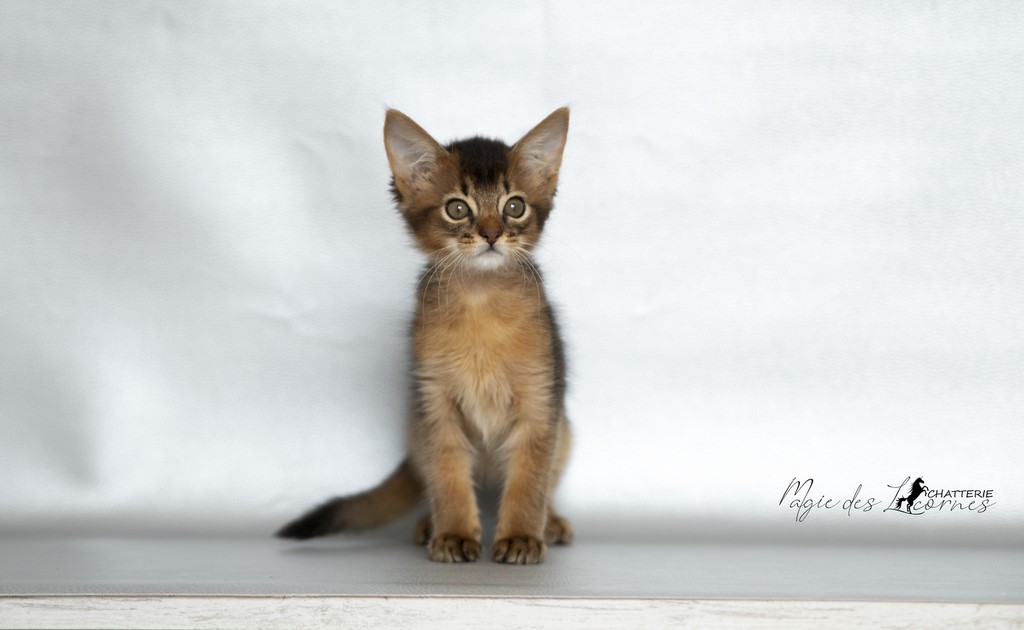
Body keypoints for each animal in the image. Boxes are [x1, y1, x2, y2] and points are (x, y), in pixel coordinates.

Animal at [277, 108, 573, 564]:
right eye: (457, 208)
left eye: (514, 206)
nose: (491, 234)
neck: (481, 301)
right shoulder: (436, 405)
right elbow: (448, 477)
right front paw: (453, 533)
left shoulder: (540, 403)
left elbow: (530, 482)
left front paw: (522, 536)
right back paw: (428, 524)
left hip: (566, 432)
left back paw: (551, 523)